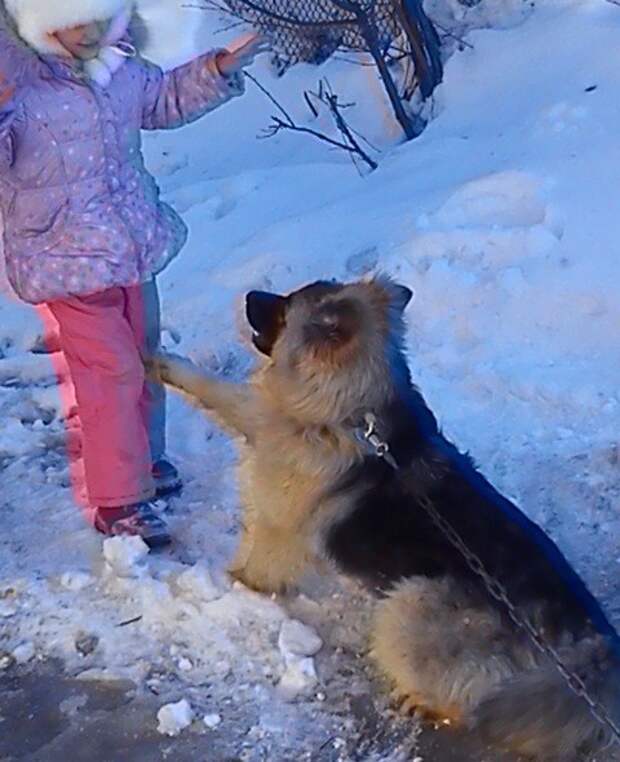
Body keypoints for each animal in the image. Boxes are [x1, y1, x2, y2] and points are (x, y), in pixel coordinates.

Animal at [151, 276, 620, 756]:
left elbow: (252, 570)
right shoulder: (265, 419)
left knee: (470, 702)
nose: (247, 296)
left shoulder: (277, 531)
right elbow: (221, 391)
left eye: (285, 306)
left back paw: (426, 703)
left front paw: (224, 585)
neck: (351, 412)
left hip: (411, 602)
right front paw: (161, 362)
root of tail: (592, 649)